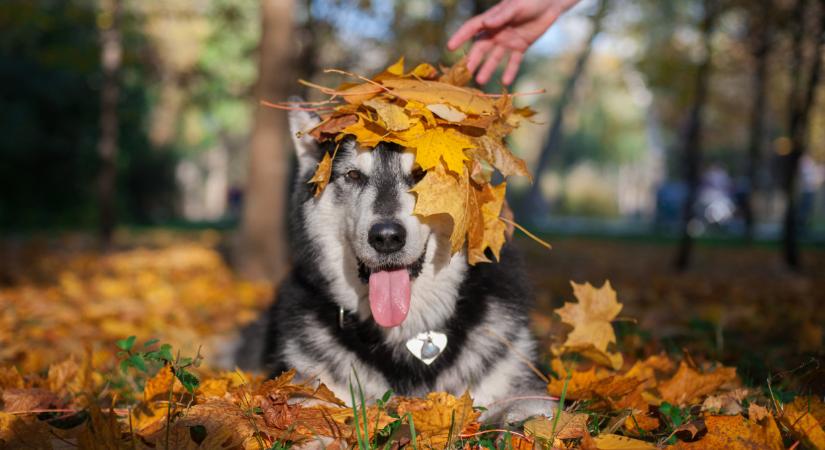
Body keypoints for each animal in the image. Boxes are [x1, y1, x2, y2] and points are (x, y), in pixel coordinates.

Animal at [246, 106, 552, 422]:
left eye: (421, 174)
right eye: (353, 175)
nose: (386, 238)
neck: (404, 331)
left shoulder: (523, 385)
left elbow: (529, 416)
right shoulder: (308, 384)